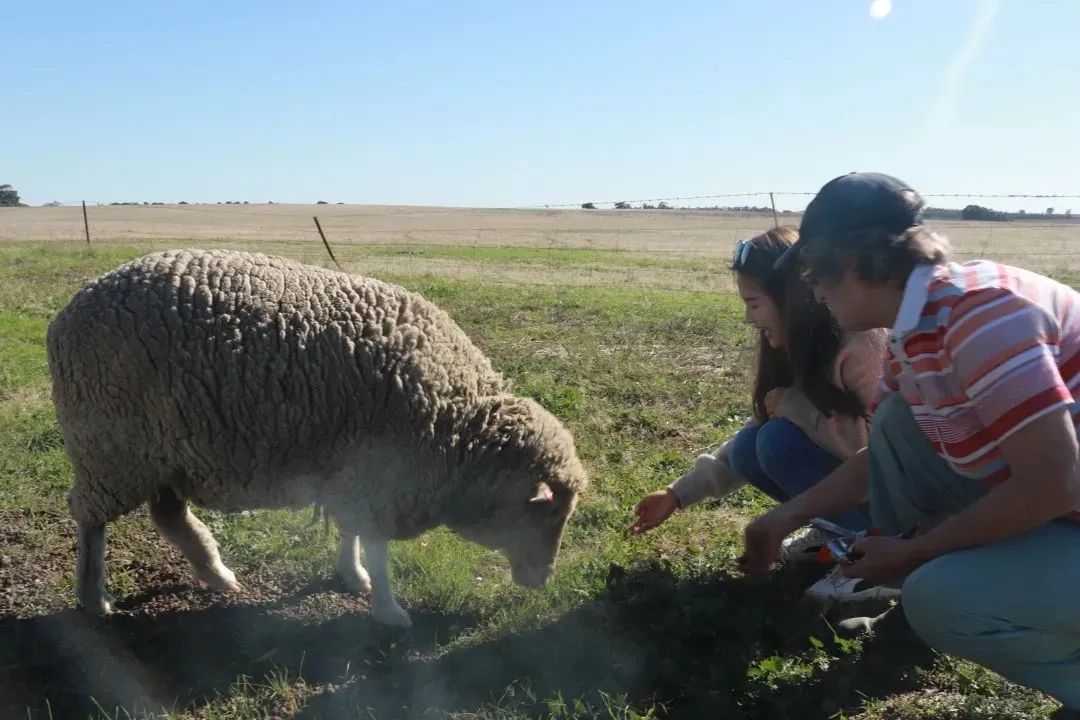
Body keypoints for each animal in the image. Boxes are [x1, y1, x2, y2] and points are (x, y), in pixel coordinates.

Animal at [46, 246, 591, 626]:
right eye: (545, 515)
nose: (542, 582)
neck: (459, 426)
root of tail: (67, 313)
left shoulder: (351, 473)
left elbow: (352, 533)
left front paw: (352, 577)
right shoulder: (379, 475)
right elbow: (376, 544)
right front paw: (389, 610)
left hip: (163, 453)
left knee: (168, 516)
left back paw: (216, 573)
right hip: (110, 448)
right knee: (89, 518)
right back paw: (93, 597)